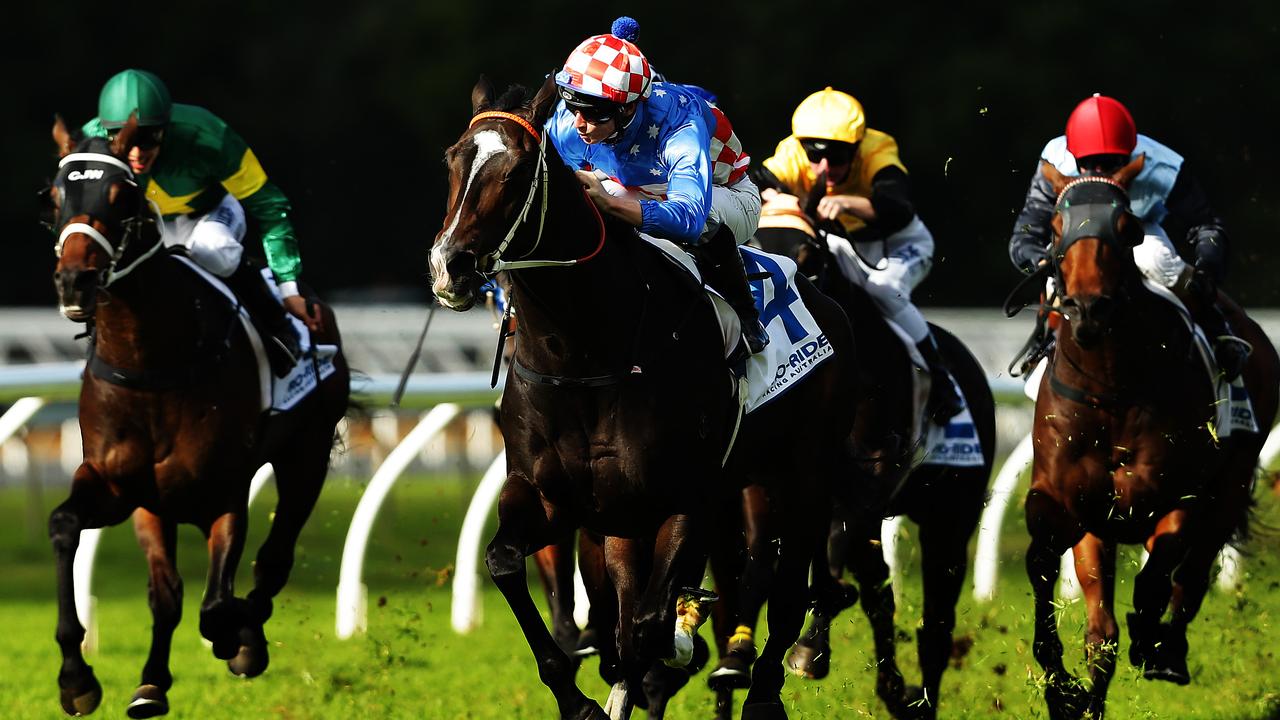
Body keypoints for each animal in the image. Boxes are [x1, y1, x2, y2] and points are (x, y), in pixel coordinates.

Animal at [47, 117, 350, 712]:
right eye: (56, 194)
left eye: (119, 196)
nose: (75, 281)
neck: (151, 363)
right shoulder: (122, 488)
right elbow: (68, 529)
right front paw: (81, 678)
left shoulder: (223, 492)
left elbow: (217, 606)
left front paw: (237, 640)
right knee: (172, 593)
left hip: (306, 457)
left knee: (273, 559)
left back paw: (247, 639)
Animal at [430, 75, 860, 712]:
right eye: (453, 159)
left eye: (517, 171)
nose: (449, 267)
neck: (582, 354)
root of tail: (826, 302)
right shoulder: (557, 499)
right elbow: (507, 564)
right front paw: (581, 698)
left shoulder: (686, 497)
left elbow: (647, 628)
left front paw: (676, 649)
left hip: (802, 477)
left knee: (784, 595)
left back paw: (761, 686)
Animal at [1029, 158, 1280, 717]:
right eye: (1055, 229)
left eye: (1127, 227)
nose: (1087, 308)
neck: (1112, 387)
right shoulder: (1068, 502)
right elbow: (1045, 569)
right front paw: (1063, 688)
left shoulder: (1178, 497)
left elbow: (1156, 579)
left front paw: (1151, 640)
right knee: (1102, 629)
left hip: (1230, 486)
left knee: (1190, 576)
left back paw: (1168, 651)